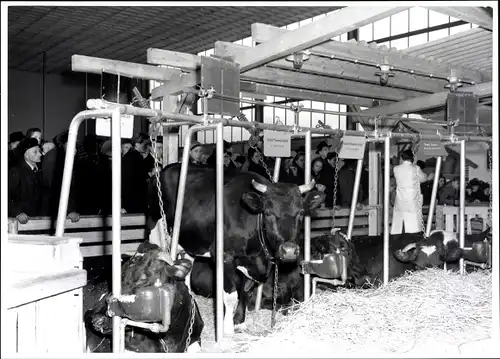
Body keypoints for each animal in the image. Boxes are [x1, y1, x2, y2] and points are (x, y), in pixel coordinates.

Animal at [148, 165, 326, 336]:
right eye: (268, 213)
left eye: (301, 213)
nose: (289, 251)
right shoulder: (224, 257)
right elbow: (231, 296)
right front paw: (227, 329)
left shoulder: (253, 264)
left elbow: (245, 293)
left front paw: (239, 322)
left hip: (191, 243)